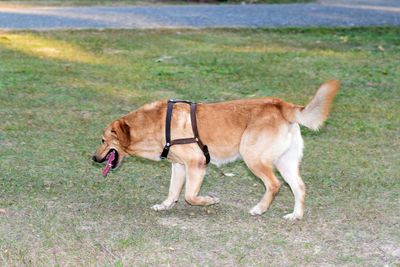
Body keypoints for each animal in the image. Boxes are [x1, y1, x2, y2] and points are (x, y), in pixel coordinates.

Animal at [92, 80, 340, 221]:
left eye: (103, 140)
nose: (94, 158)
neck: (156, 123)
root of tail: (281, 105)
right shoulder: (178, 166)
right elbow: (173, 192)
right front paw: (165, 205)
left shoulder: (197, 164)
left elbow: (190, 196)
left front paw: (209, 201)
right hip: (284, 162)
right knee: (299, 187)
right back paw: (295, 215)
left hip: (253, 157)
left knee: (274, 184)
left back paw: (259, 209)